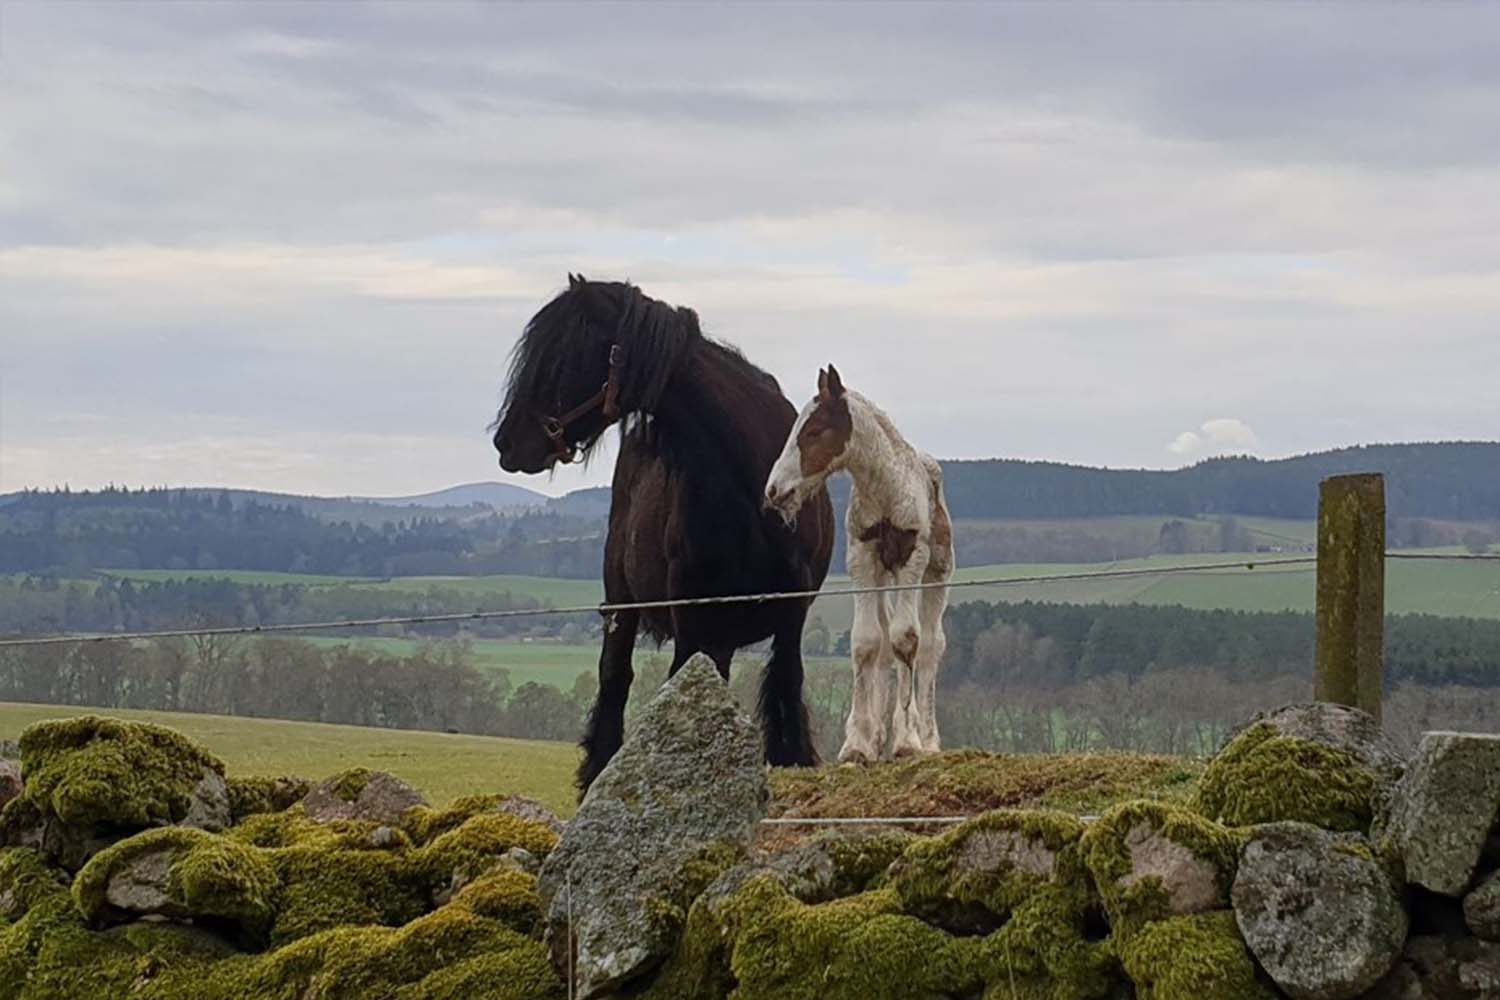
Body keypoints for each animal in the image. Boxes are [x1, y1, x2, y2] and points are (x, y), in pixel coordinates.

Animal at [498, 277, 840, 791]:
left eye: (563, 355)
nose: (507, 442)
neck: (751, 487)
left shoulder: (790, 618)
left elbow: (786, 690)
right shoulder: (693, 621)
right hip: (623, 607)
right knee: (614, 678)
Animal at [762, 367, 948, 767]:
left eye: (814, 431)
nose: (774, 491)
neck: (887, 491)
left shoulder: (912, 560)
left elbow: (906, 639)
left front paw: (906, 740)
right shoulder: (862, 561)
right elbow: (867, 642)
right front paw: (859, 745)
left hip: (938, 573)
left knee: (930, 645)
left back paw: (927, 739)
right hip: (881, 578)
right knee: (882, 640)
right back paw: (877, 737)